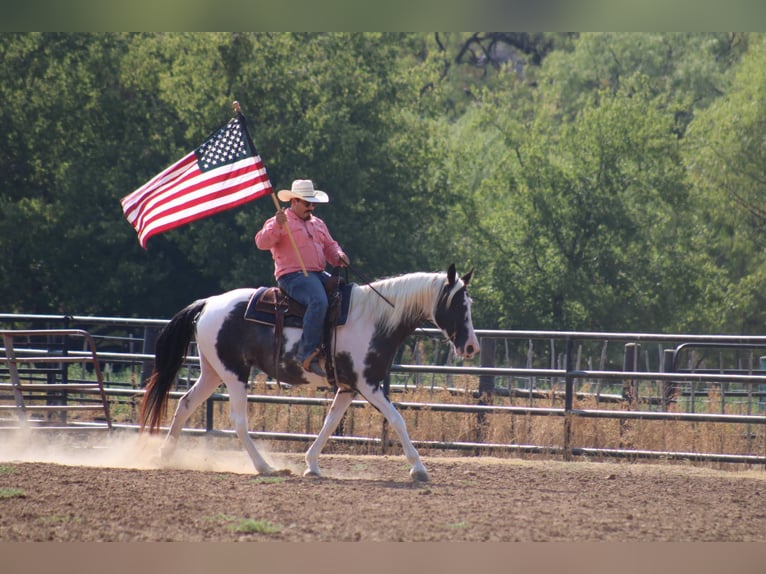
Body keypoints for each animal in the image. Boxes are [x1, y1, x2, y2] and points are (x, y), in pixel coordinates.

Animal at [140, 264, 480, 482]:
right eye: (458, 305)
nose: (472, 347)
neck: (374, 319)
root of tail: (209, 302)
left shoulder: (348, 387)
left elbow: (330, 423)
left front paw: (311, 464)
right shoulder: (368, 384)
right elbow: (397, 420)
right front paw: (419, 469)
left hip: (213, 371)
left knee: (185, 403)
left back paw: (164, 455)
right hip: (234, 373)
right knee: (238, 421)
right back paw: (265, 468)